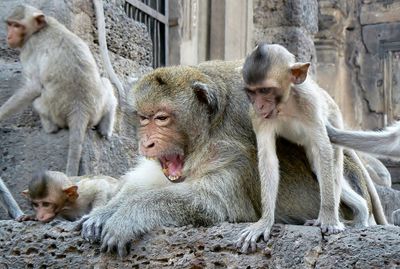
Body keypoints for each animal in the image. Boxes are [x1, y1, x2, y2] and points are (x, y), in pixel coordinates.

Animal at [1, 5, 117, 176]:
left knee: (37, 102)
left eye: (17, 26)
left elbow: (33, 87)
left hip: (53, 111)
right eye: (9, 24)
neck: (42, 27)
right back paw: (106, 127)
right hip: (97, 108)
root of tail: (80, 109)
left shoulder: (29, 48)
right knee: (105, 81)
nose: (9, 36)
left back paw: (50, 129)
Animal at [236, 43, 386, 252]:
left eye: (265, 90)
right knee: (317, 167)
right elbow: (268, 160)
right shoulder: (257, 116)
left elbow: (323, 150)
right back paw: (361, 211)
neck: (285, 104)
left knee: (331, 163)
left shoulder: (309, 103)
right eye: (251, 92)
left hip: (335, 118)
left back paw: (341, 217)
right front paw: (265, 221)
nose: (259, 106)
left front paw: (329, 219)